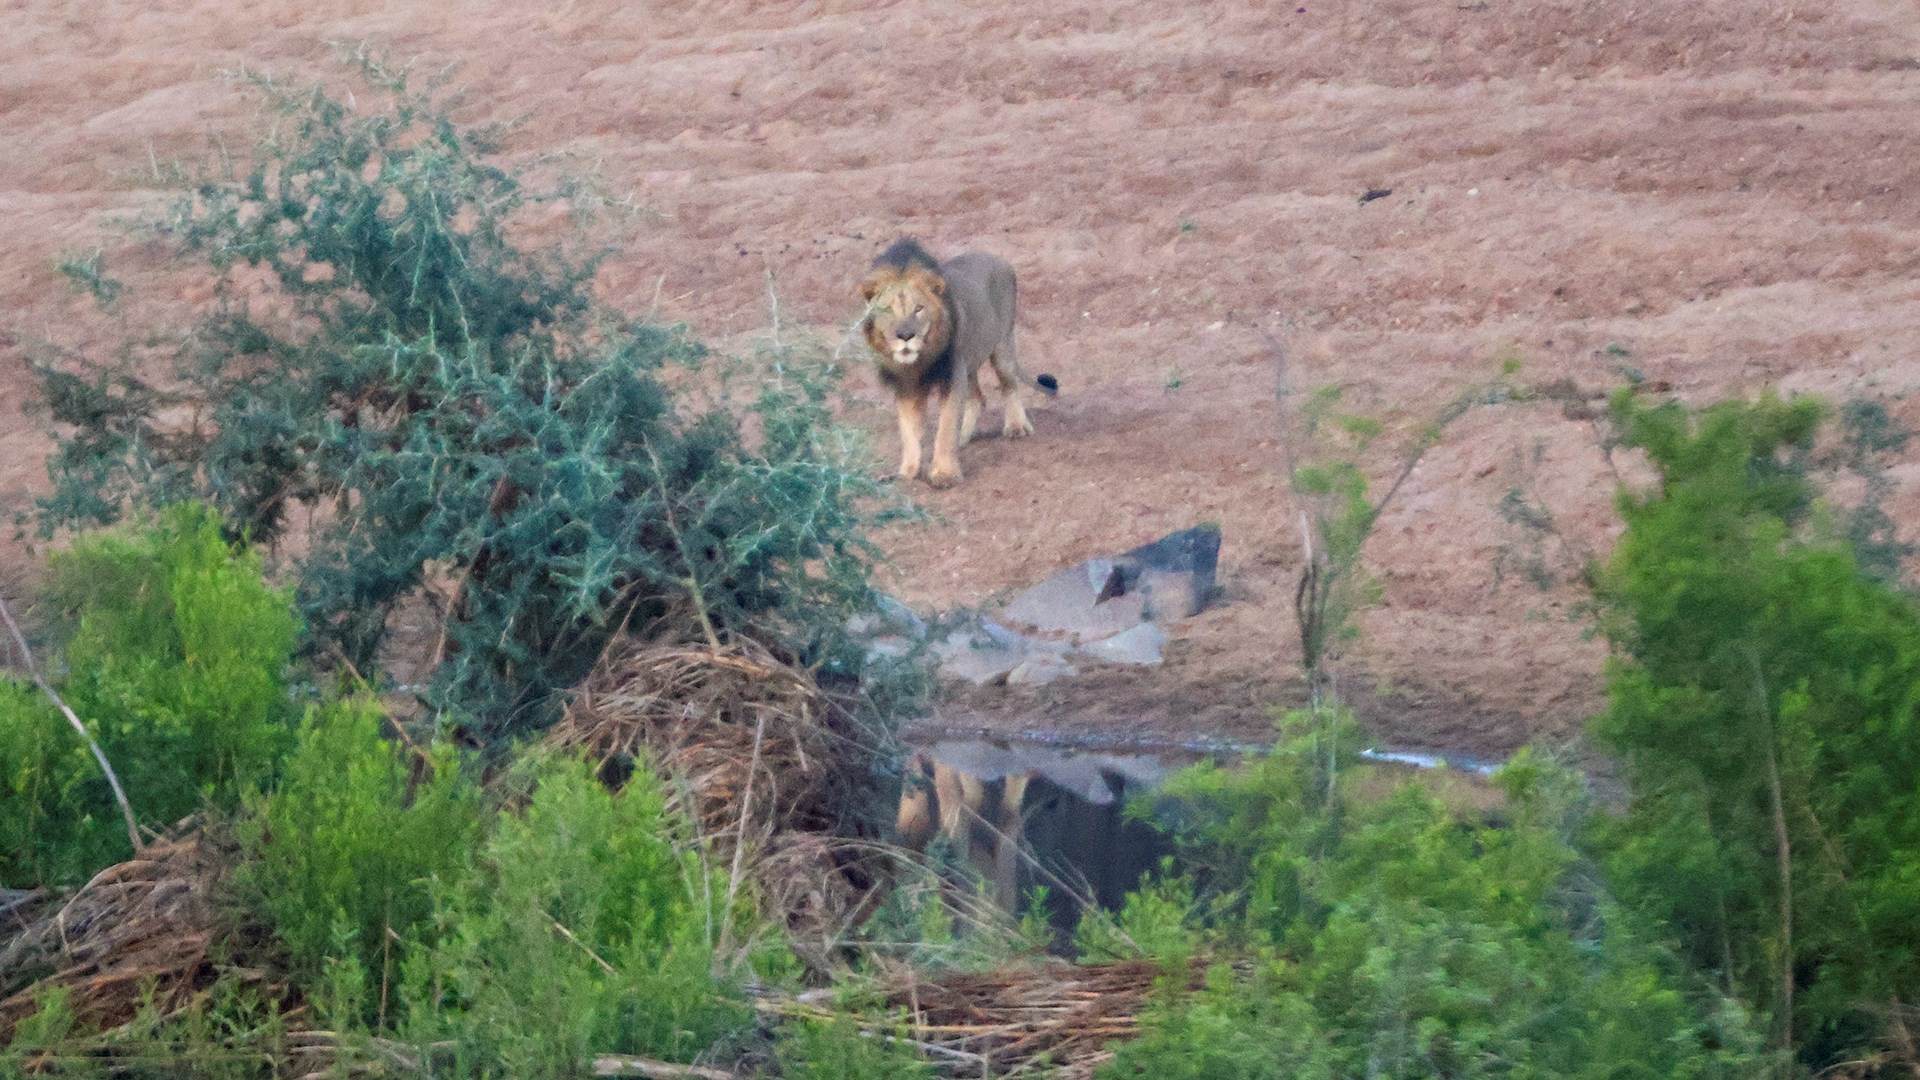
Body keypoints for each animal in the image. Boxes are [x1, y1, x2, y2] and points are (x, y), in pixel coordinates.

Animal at [858, 237, 1057, 487]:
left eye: (918, 308)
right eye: (887, 309)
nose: (905, 336)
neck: (918, 363)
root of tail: (999, 259)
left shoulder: (952, 374)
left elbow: (946, 426)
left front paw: (945, 474)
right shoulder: (905, 385)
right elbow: (908, 429)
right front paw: (907, 473)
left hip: (1001, 346)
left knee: (1009, 385)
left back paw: (1016, 427)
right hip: (969, 360)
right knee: (978, 398)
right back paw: (963, 439)